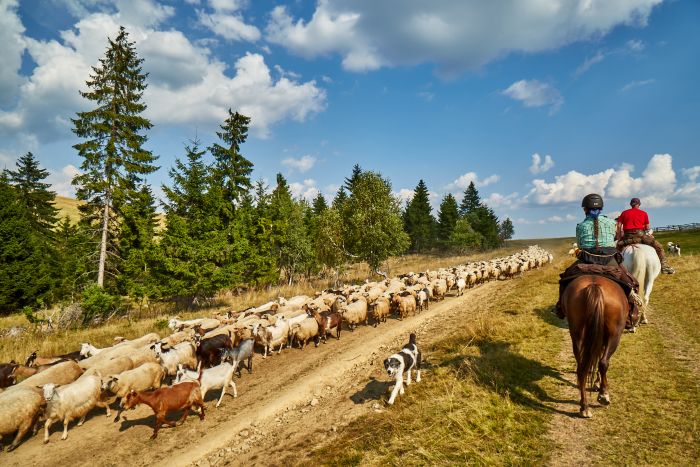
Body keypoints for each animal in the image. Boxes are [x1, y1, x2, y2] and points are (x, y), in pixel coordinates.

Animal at [560, 272, 628, 418]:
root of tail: (594, 286)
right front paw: (598, 385)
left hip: (577, 333)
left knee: (581, 368)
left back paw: (584, 407)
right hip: (615, 335)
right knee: (603, 362)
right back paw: (603, 395)